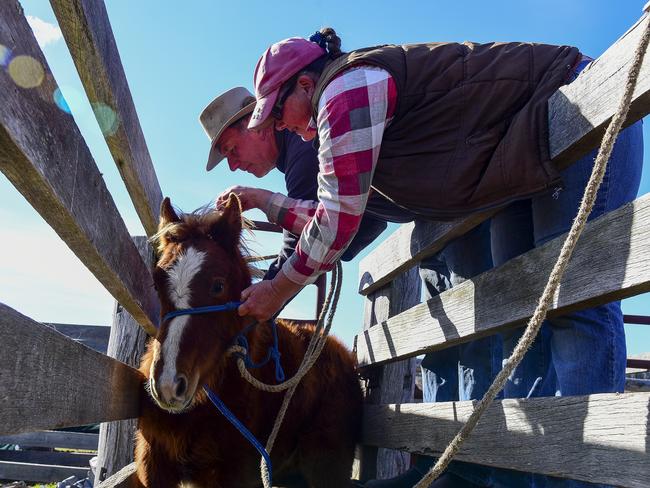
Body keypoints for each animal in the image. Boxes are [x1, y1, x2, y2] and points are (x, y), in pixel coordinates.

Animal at [134, 196, 362, 486]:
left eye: (218, 285)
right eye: (156, 284)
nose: (167, 385)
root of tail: (343, 353)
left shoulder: (236, 474)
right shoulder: (152, 462)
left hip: (328, 469)